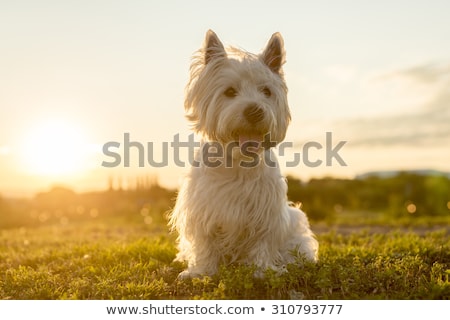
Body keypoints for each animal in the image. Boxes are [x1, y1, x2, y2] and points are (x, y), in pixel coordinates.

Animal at [170, 31, 320, 278]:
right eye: (230, 91)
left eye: (266, 91)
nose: (254, 111)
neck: (239, 161)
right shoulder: (202, 209)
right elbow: (205, 244)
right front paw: (201, 272)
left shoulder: (266, 213)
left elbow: (261, 243)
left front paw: (262, 271)